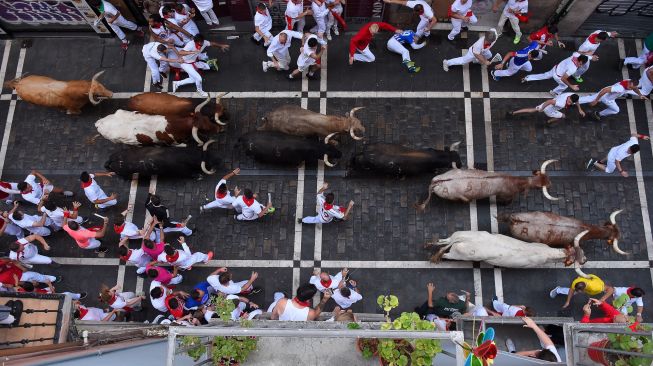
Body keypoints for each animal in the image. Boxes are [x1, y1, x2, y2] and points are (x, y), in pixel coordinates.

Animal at [94, 96, 222, 147]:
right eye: (204, 128)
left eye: (207, 118)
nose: (219, 129)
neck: (174, 125)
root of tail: (99, 123)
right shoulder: (173, 143)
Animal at [416, 160, 556, 212]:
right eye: (539, 187)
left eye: (547, 177)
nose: (551, 184)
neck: (512, 181)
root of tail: (436, 182)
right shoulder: (506, 196)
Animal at [426, 230, 588, 276]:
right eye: (579, 258)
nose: (586, 259)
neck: (547, 253)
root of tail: (462, 238)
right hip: (457, 254)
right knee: (444, 253)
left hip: (456, 236)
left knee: (443, 242)